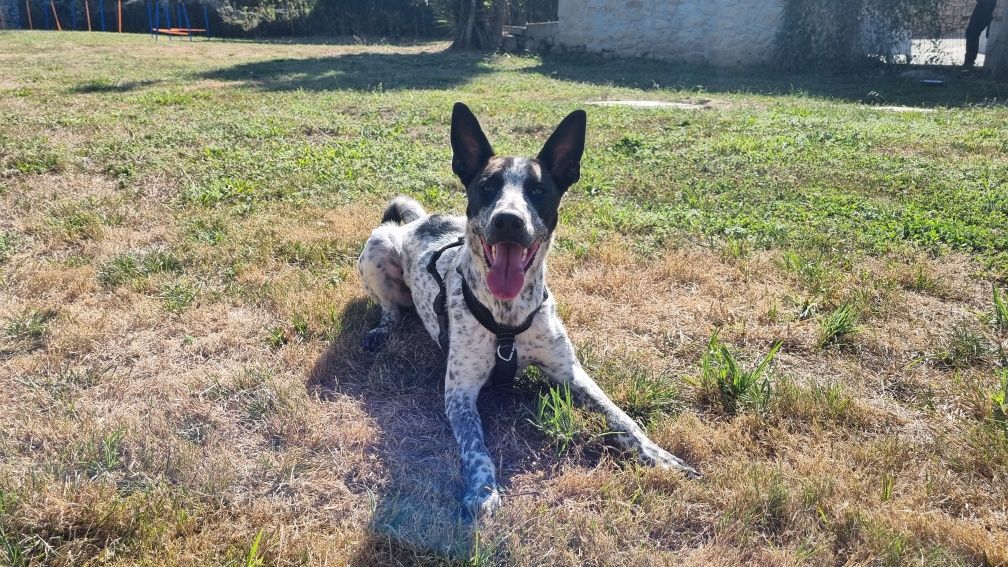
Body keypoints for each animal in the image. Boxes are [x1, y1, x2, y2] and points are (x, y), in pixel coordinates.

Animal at [358, 101, 697, 516]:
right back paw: (381, 330)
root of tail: (418, 222)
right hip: (378, 245)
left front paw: (660, 456)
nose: (508, 220)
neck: (508, 317)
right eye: (487, 187)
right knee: (390, 309)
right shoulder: (460, 393)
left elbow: (623, 419)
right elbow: (476, 447)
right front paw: (483, 489)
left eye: (538, 190)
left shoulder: (570, 373)